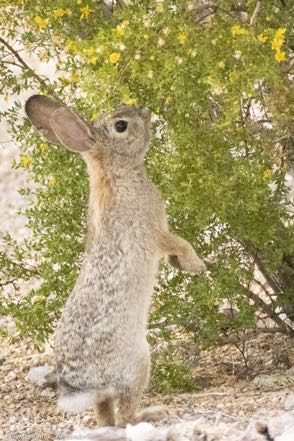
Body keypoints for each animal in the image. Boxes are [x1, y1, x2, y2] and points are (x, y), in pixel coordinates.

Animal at [24, 93, 207, 426]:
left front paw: (181, 265)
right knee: (124, 416)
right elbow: (179, 243)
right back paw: (153, 413)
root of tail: (82, 387)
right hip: (140, 362)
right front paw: (196, 266)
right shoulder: (153, 232)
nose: (145, 112)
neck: (116, 172)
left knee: (106, 417)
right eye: (121, 126)